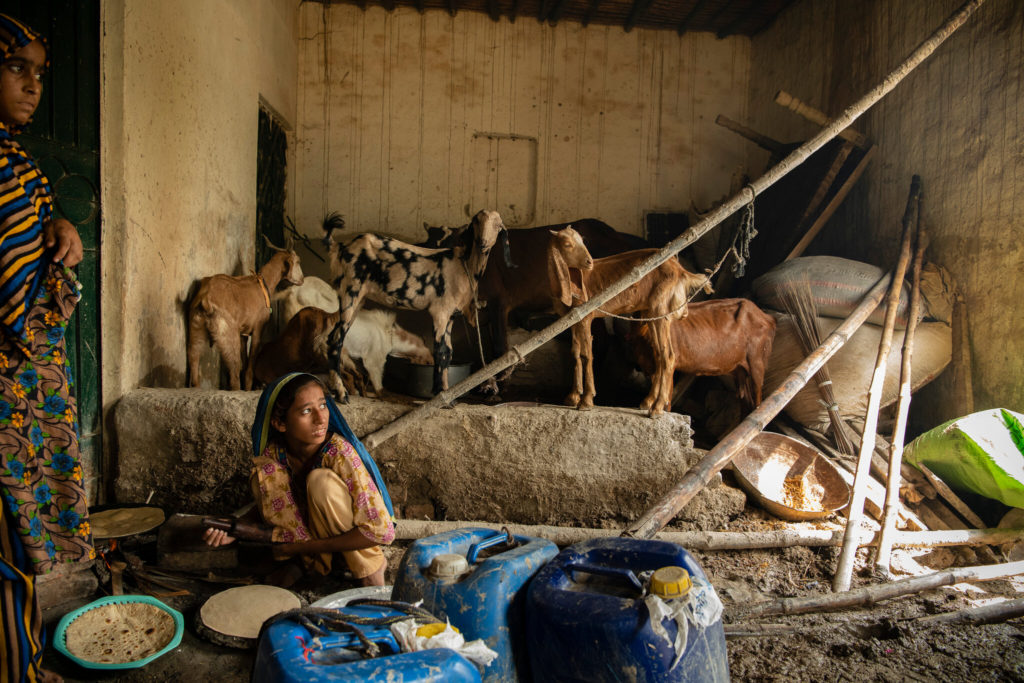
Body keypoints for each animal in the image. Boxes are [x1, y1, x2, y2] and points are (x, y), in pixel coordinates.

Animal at [187, 239, 301, 389]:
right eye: (298, 261)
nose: (302, 279)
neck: (263, 284)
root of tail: (205, 299)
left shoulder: (243, 334)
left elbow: (245, 361)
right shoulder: (258, 329)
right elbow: (249, 364)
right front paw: (248, 387)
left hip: (196, 329)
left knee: (194, 360)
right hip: (228, 334)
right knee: (234, 371)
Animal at [258, 305, 434, 395]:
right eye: (428, 360)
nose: (433, 362)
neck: (388, 333)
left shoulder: (358, 360)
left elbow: (361, 378)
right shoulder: (373, 360)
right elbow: (377, 384)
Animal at [321, 208, 509, 401]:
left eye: (498, 225)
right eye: (476, 221)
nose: (483, 243)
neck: (463, 266)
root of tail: (339, 247)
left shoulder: (451, 315)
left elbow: (448, 353)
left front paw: (446, 392)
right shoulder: (440, 311)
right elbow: (441, 352)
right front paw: (439, 394)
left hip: (358, 299)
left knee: (335, 338)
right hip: (350, 291)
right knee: (336, 339)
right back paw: (342, 393)